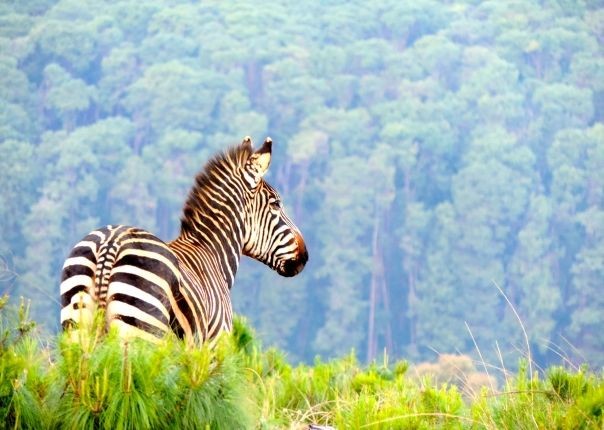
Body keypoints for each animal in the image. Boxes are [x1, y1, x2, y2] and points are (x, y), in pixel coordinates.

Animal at [59, 138, 310, 346]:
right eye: (276, 204)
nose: (305, 256)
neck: (211, 252)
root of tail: (111, 244)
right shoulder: (215, 346)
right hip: (142, 331)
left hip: (76, 328)